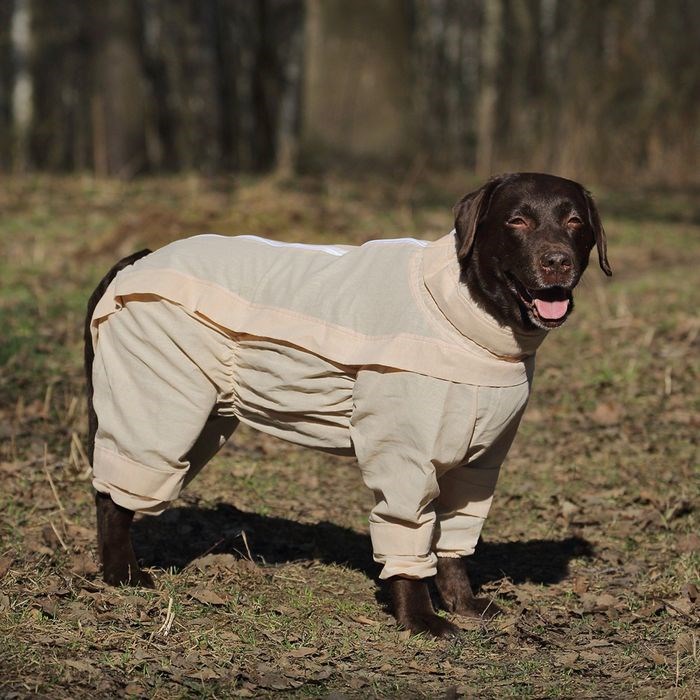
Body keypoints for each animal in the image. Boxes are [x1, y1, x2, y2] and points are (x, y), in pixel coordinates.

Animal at [84, 173, 610, 638]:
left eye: (575, 221)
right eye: (517, 220)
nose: (557, 261)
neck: (467, 315)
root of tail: (136, 260)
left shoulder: (477, 467)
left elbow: (454, 545)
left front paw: (462, 605)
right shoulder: (406, 461)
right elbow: (409, 537)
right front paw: (420, 620)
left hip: (200, 414)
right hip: (157, 400)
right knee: (114, 494)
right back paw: (123, 575)